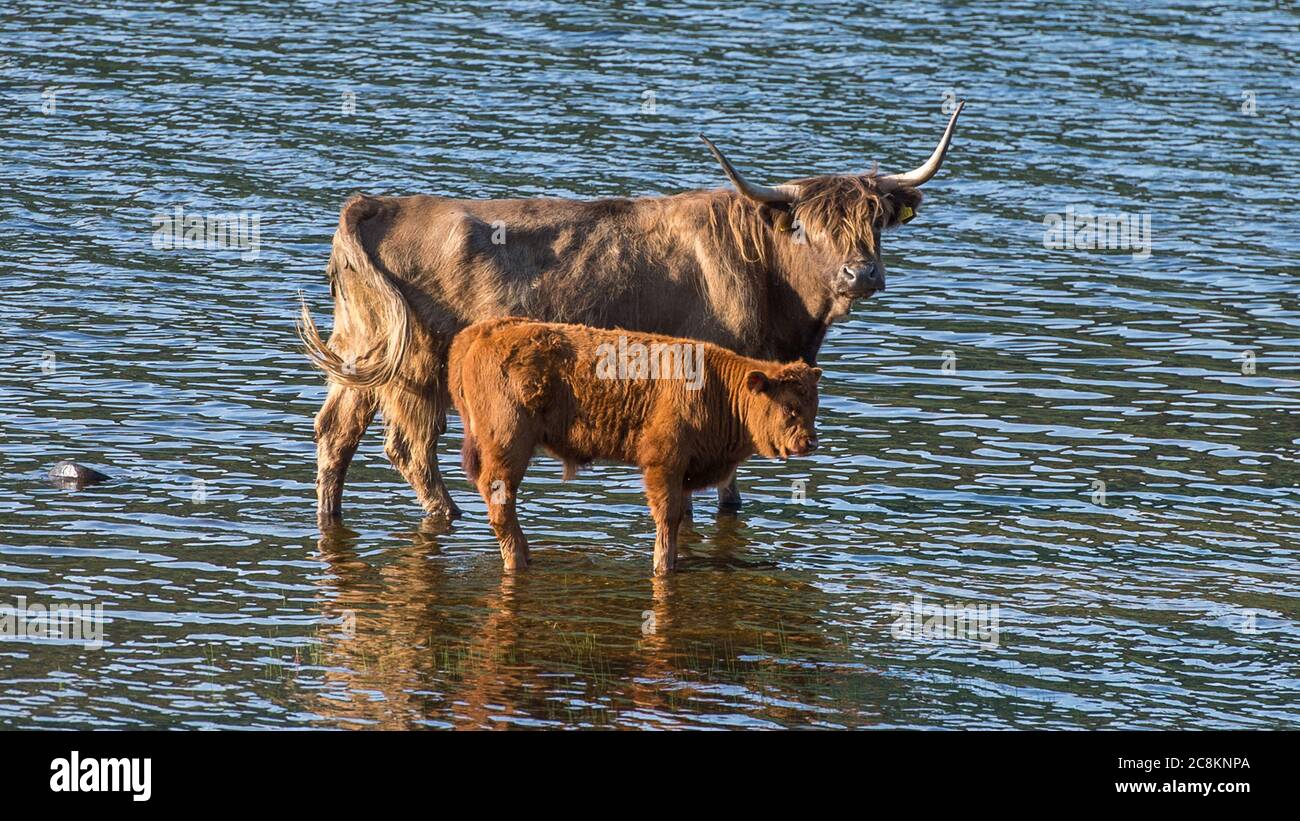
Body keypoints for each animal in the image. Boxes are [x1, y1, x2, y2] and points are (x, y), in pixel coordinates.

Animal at [299, 103, 963, 529]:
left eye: (875, 222)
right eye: (806, 227)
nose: (861, 274)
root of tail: (375, 203)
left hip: (361, 354)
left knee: (335, 431)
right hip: (415, 369)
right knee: (408, 447)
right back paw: (447, 513)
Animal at [449, 318, 822, 575]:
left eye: (814, 405)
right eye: (790, 407)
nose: (809, 442)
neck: (717, 388)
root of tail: (481, 332)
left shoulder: (683, 472)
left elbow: (680, 518)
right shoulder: (663, 464)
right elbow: (667, 517)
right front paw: (663, 566)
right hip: (508, 445)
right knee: (501, 503)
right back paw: (518, 561)